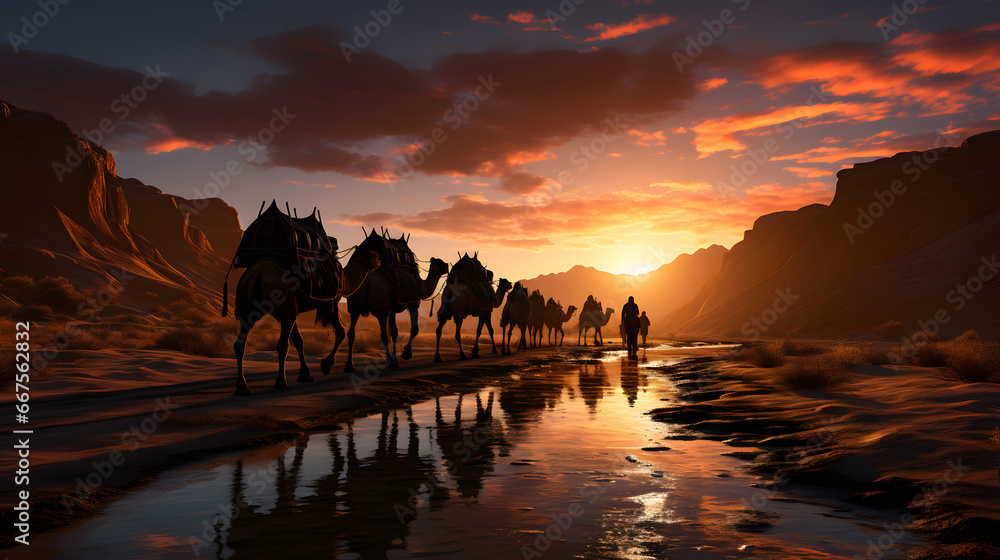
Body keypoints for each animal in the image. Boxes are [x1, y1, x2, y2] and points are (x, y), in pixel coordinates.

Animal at [229, 247, 380, 396]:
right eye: (372, 254)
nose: (378, 259)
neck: (343, 280)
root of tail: (255, 273)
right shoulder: (330, 302)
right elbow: (340, 332)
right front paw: (326, 364)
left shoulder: (295, 311)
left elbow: (298, 340)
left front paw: (305, 374)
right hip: (283, 303)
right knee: (282, 345)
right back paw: (282, 383)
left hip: (248, 309)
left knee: (239, 344)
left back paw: (242, 387)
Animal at [348, 230, 450, 374]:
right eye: (440, 263)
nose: (447, 266)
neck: (422, 285)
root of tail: (367, 281)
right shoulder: (414, 303)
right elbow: (414, 329)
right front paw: (405, 354)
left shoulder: (393, 309)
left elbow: (394, 332)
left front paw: (396, 360)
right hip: (380, 307)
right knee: (383, 335)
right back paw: (388, 361)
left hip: (354, 306)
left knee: (351, 332)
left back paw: (349, 366)